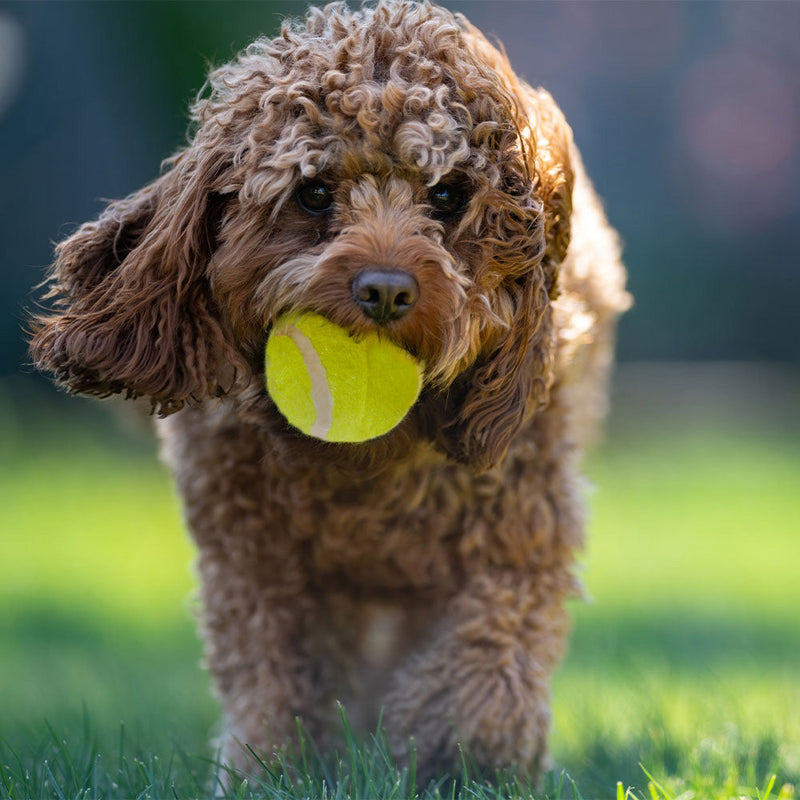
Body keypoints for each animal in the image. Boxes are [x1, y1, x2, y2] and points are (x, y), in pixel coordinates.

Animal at [29, 0, 632, 788]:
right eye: (313, 192)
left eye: (448, 195)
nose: (386, 290)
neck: (368, 463)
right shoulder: (258, 561)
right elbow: (277, 678)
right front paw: (273, 771)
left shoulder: (514, 530)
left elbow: (487, 660)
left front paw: (460, 761)